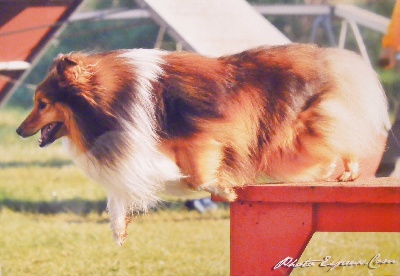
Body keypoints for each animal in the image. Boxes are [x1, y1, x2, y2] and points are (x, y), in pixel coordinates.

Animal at [17, 43, 390, 244]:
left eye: (42, 103)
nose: (19, 131)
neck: (113, 98)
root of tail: (330, 58)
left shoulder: (203, 136)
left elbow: (199, 176)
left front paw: (224, 191)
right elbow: (127, 192)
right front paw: (119, 229)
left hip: (295, 133)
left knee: (343, 137)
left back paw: (348, 171)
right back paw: (334, 173)